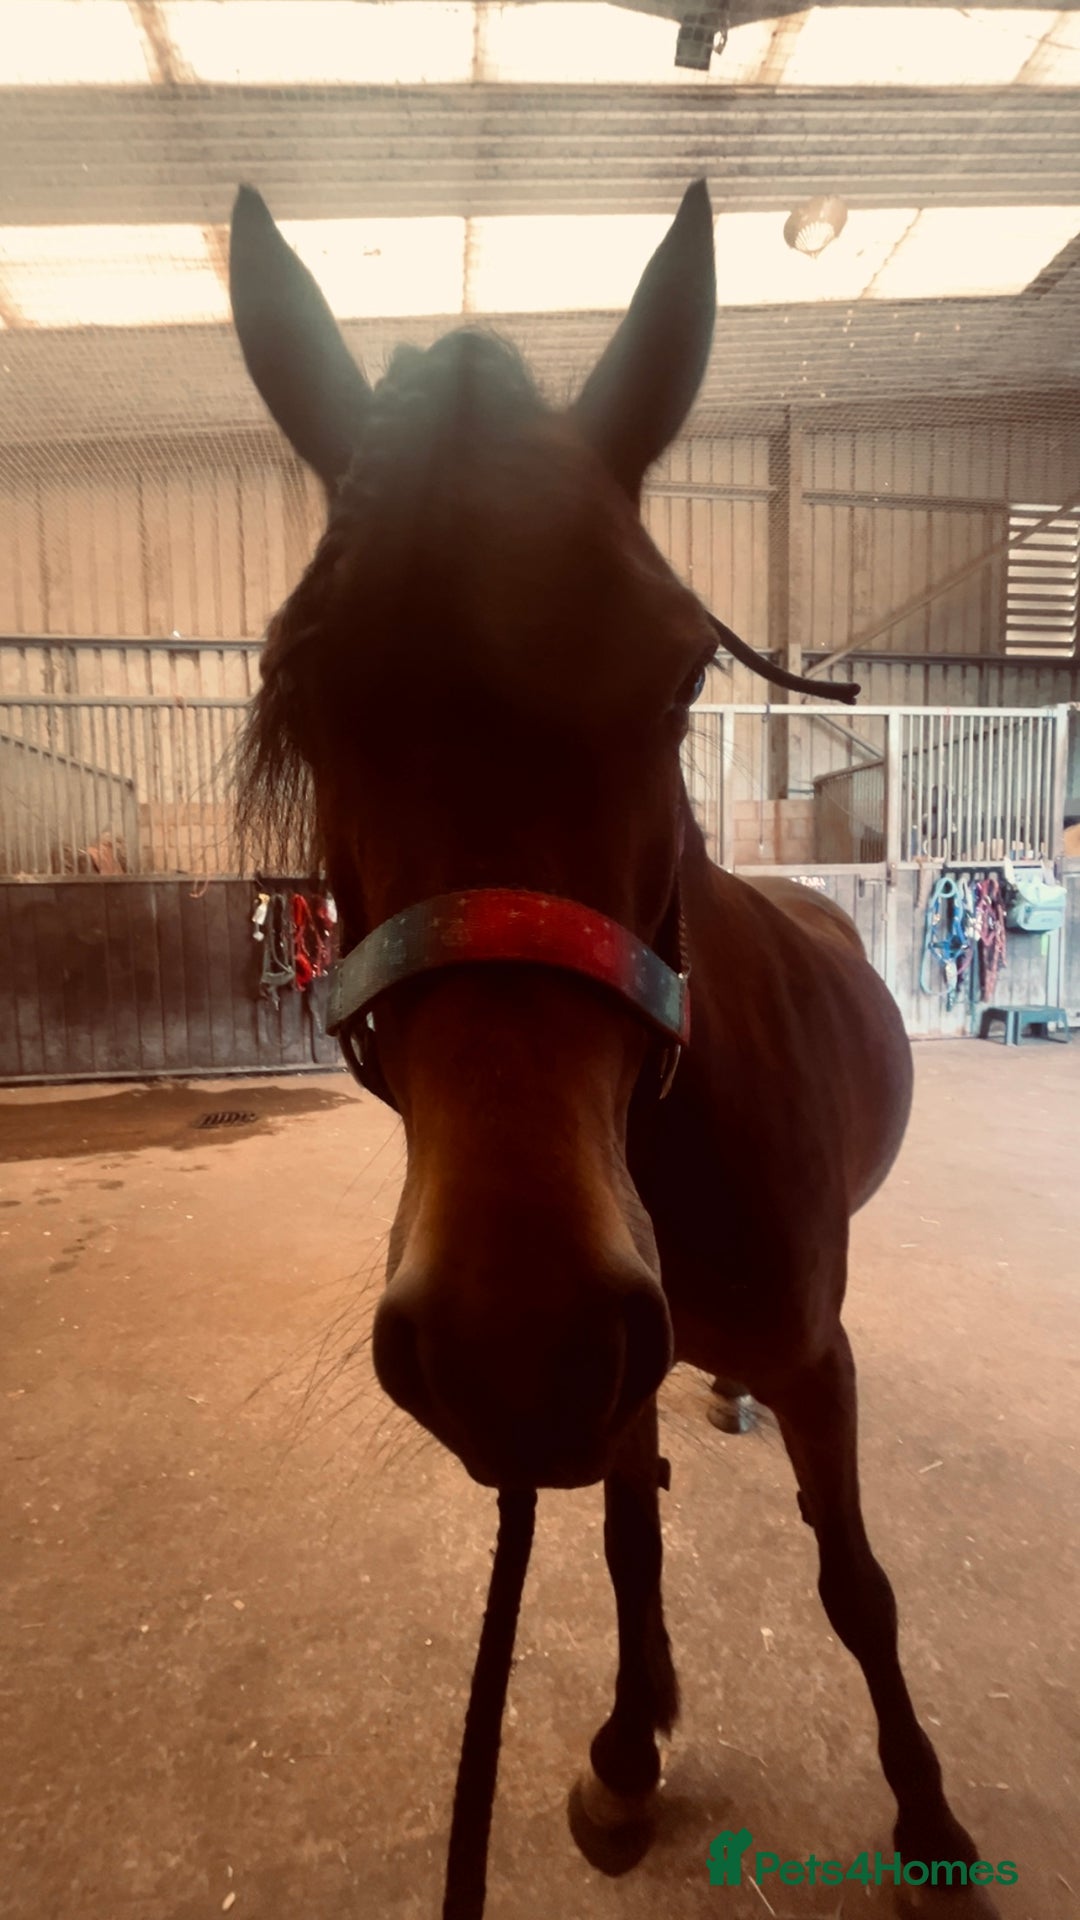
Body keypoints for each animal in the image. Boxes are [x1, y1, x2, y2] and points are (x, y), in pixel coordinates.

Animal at [229, 179, 986, 1909]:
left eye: (678, 672)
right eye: (301, 685)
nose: (511, 1340)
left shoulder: (807, 1354)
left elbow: (857, 1584)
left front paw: (925, 1814)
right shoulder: (616, 1372)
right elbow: (632, 1538)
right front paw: (634, 1750)